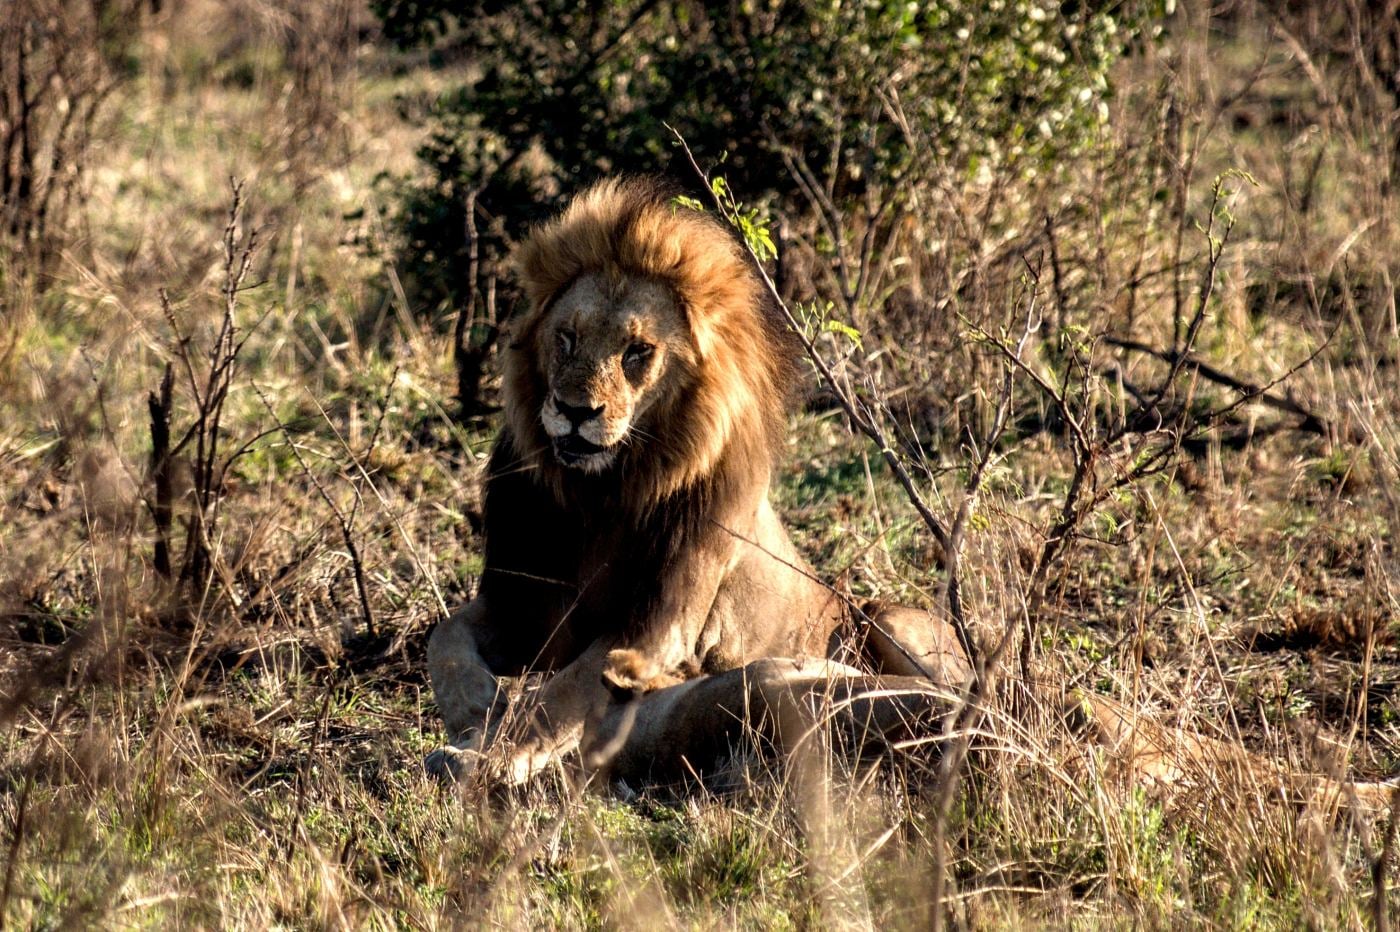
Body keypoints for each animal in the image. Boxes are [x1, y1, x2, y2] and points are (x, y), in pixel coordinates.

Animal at [425, 177, 1394, 810]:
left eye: (637, 353)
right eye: (566, 338)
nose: (574, 411)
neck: (606, 493)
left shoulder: (656, 625)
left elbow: (576, 683)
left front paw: (493, 745)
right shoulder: (515, 597)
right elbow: (448, 639)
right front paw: (477, 712)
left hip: (898, 625)